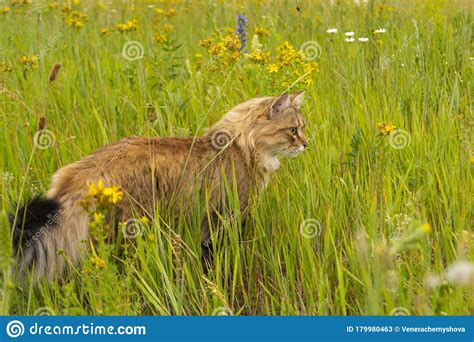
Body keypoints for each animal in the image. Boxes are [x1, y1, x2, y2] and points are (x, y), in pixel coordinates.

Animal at [12, 91, 308, 280]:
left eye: (302, 128)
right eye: (293, 130)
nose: (306, 143)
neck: (240, 145)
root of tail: (80, 171)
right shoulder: (223, 219)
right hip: (128, 233)